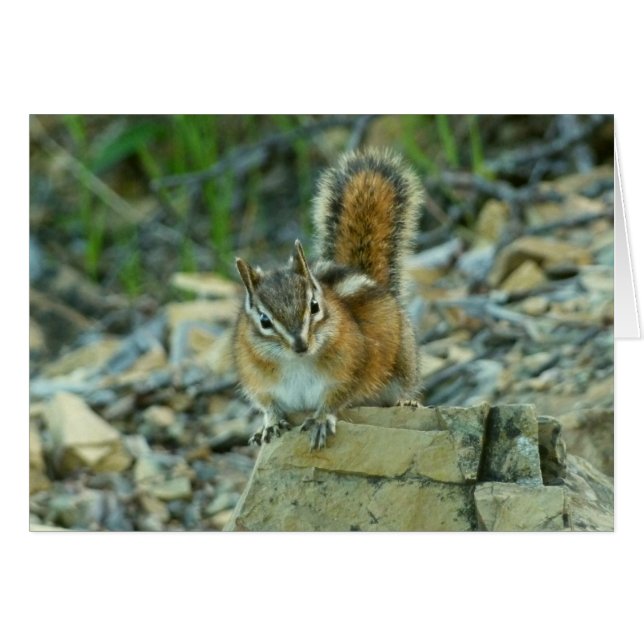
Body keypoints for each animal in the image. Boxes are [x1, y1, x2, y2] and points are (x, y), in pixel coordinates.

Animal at [233, 148, 424, 449]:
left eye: (314, 306)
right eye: (264, 320)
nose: (300, 345)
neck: (296, 363)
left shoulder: (350, 369)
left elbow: (336, 398)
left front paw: (321, 419)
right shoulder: (258, 381)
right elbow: (268, 405)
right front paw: (270, 424)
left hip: (404, 362)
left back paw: (406, 402)